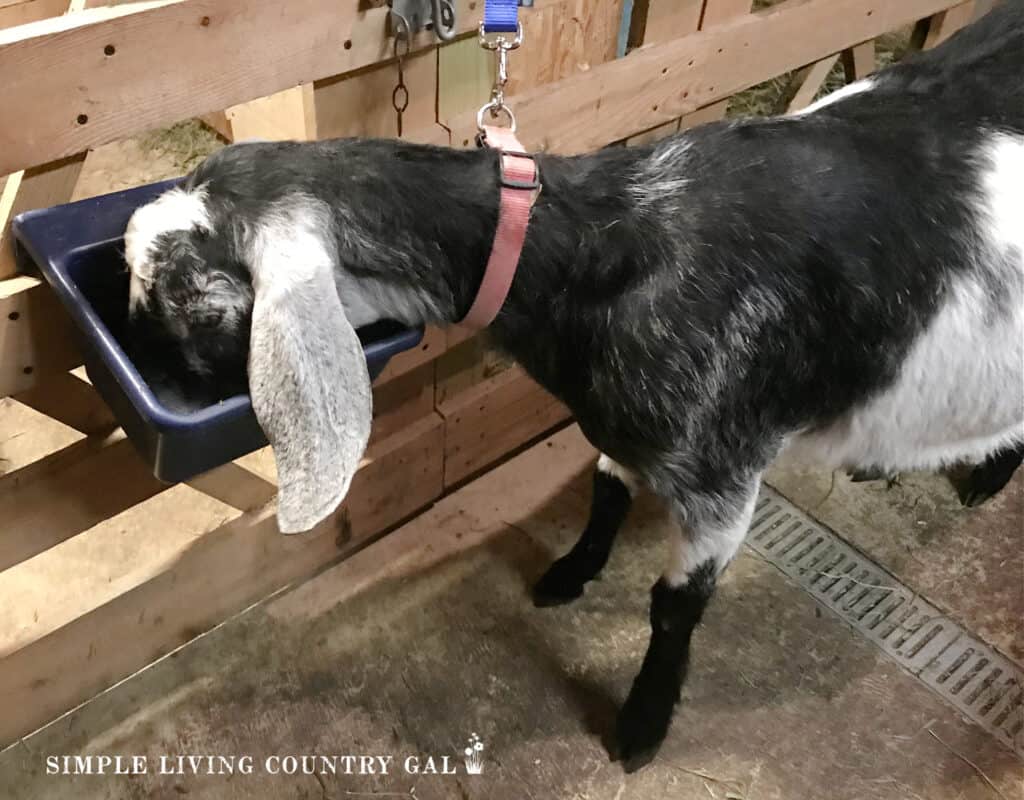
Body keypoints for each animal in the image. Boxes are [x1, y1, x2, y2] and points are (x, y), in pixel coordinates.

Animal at [123, 1, 1019, 774]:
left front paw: (641, 727)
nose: (155, 378)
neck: (604, 245)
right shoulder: (623, 429)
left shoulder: (724, 476)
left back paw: (984, 479)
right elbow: (607, 490)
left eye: (181, 296)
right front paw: (568, 576)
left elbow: (674, 605)